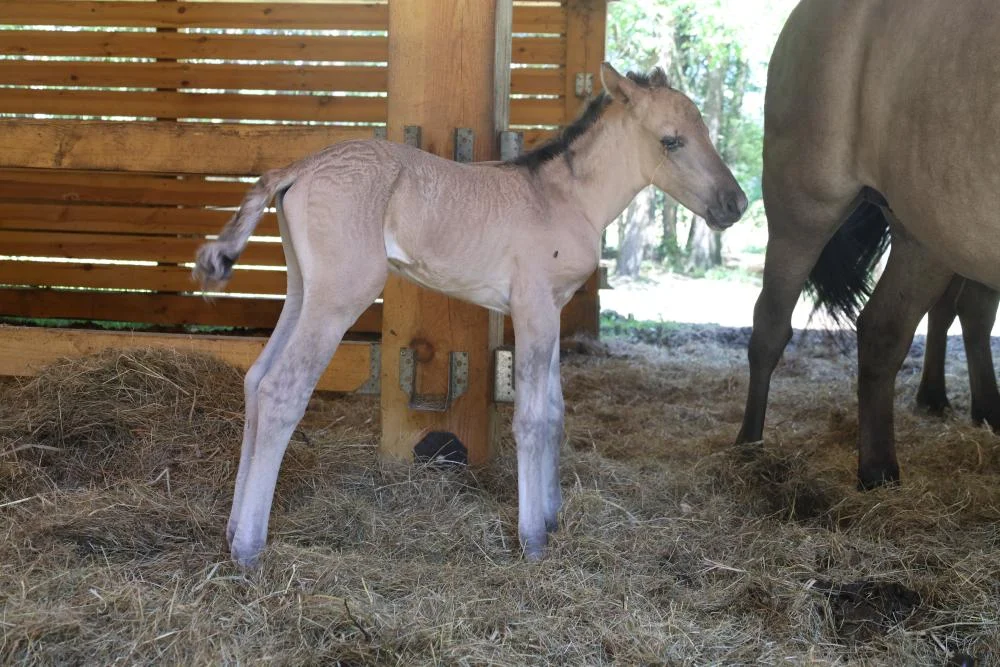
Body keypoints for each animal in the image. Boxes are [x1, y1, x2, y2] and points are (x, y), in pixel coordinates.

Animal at [195, 62, 748, 568]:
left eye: (706, 132)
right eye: (671, 140)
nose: (736, 204)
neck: (562, 198)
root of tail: (298, 169)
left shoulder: (551, 309)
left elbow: (555, 410)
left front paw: (552, 516)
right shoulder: (532, 308)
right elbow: (531, 418)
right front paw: (533, 540)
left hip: (303, 292)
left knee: (256, 379)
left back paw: (231, 532)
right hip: (339, 296)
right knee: (281, 390)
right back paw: (248, 550)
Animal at [736, 0, 1000, 490]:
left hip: (926, 238)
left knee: (884, 330)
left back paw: (878, 470)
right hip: (801, 215)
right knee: (770, 329)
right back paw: (748, 444)